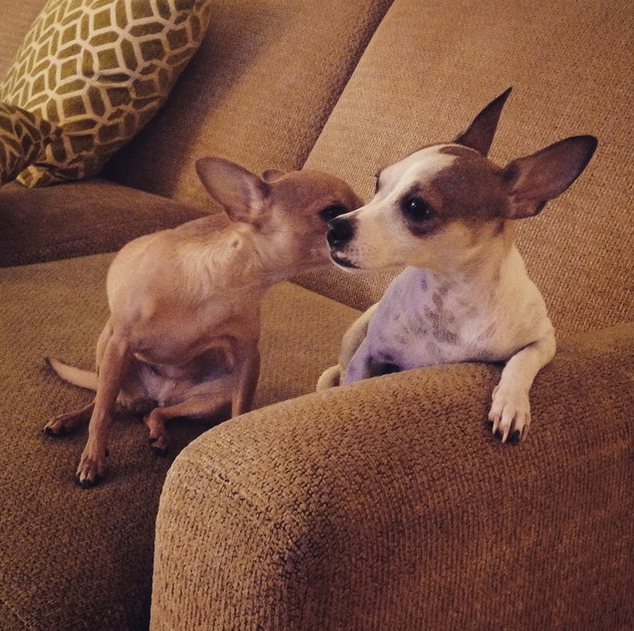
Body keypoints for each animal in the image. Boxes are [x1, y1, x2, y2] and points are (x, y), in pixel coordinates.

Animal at [45, 157, 362, 487]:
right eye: (331, 212)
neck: (224, 283)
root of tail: (154, 396)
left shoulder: (247, 355)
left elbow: (241, 408)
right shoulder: (121, 342)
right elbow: (102, 414)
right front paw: (93, 458)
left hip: (209, 397)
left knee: (154, 413)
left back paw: (158, 433)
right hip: (107, 351)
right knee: (104, 399)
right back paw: (70, 420)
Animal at [318, 88, 597, 443]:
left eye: (416, 207)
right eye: (378, 183)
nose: (333, 228)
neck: (447, 294)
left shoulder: (544, 339)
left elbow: (521, 362)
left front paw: (511, 403)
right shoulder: (367, 357)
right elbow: (354, 380)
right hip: (357, 332)